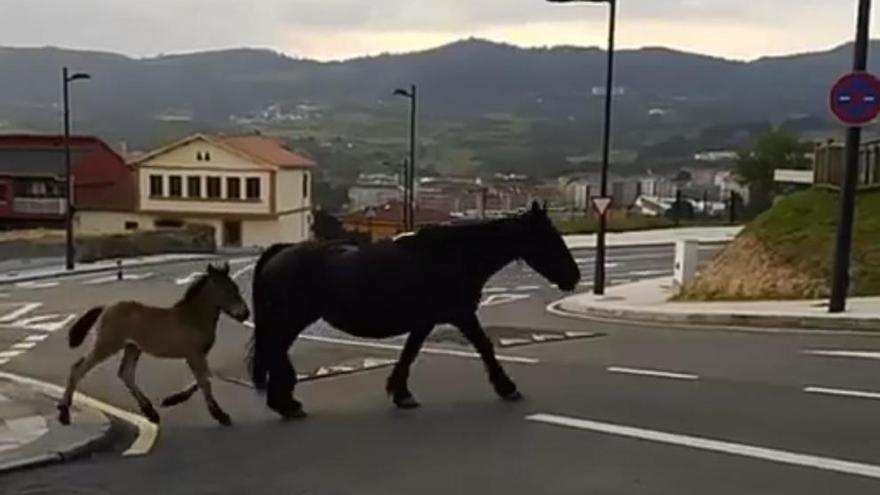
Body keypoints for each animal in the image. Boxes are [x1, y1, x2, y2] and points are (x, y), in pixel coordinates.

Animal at [248, 201, 580, 418]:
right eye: (549, 238)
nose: (574, 277)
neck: (454, 256)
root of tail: (281, 251)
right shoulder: (460, 315)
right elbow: (484, 346)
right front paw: (507, 387)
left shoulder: (425, 321)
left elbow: (409, 353)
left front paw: (400, 392)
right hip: (291, 318)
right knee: (275, 350)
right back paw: (285, 404)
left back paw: (285, 402)